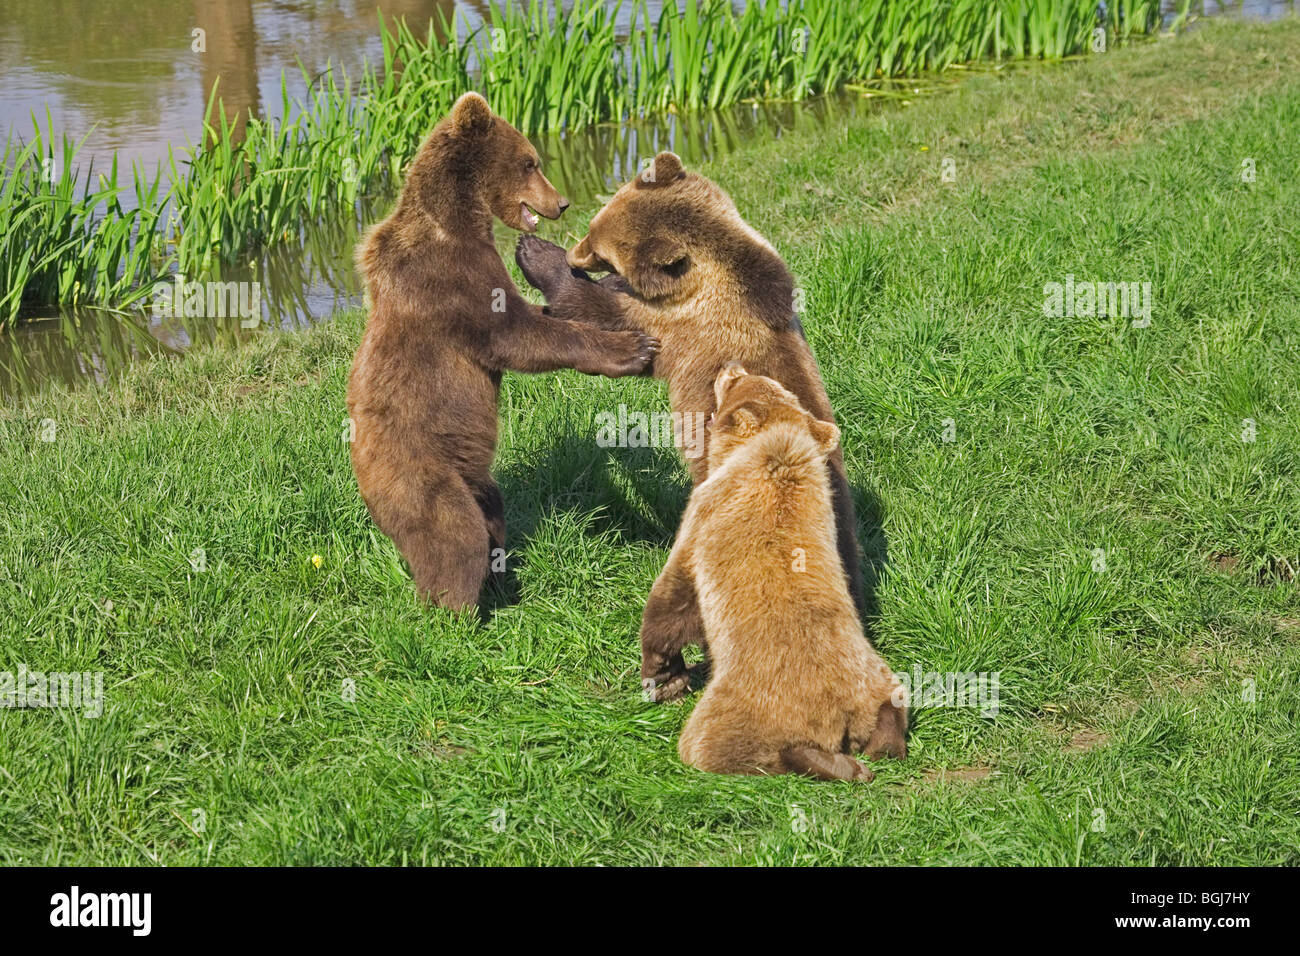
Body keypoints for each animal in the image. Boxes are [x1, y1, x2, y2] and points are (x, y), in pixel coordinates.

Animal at [347, 92, 658, 611]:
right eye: (530, 161)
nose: (562, 202)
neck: (458, 220)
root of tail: (362, 484)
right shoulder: (449, 280)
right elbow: (516, 335)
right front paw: (633, 347)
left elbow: (541, 317)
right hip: (420, 474)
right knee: (455, 535)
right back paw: (454, 610)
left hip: (476, 476)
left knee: (491, 512)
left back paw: (500, 583)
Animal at [514, 151, 863, 695]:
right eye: (595, 226)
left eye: (598, 246)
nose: (575, 254)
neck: (721, 274)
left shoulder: (684, 328)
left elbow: (608, 317)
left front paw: (539, 258)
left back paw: (665, 672)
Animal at [665, 366, 907, 780]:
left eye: (735, 385)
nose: (731, 366)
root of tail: (841, 716)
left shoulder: (705, 510)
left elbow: (675, 586)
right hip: (869, 674)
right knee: (892, 700)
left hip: (753, 702)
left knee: (712, 743)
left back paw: (827, 763)